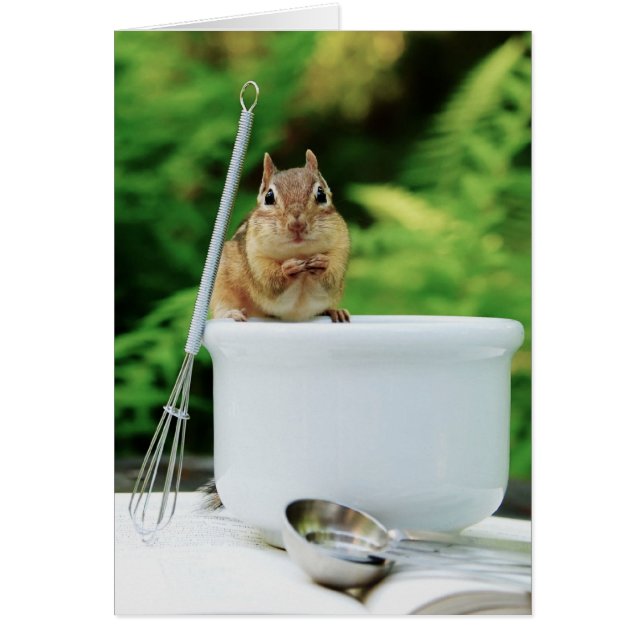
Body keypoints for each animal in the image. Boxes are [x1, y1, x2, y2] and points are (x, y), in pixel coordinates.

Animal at [210, 149, 351, 323]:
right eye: (268, 197)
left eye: (321, 194)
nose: (297, 224)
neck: (300, 254)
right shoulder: (255, 257)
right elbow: (270, 282)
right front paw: (287, 269)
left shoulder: (340, 249)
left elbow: (332, 277)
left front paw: (321, 263)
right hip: (221, 283)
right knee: (222, 306)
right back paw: (232, 313)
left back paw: (335, 311)